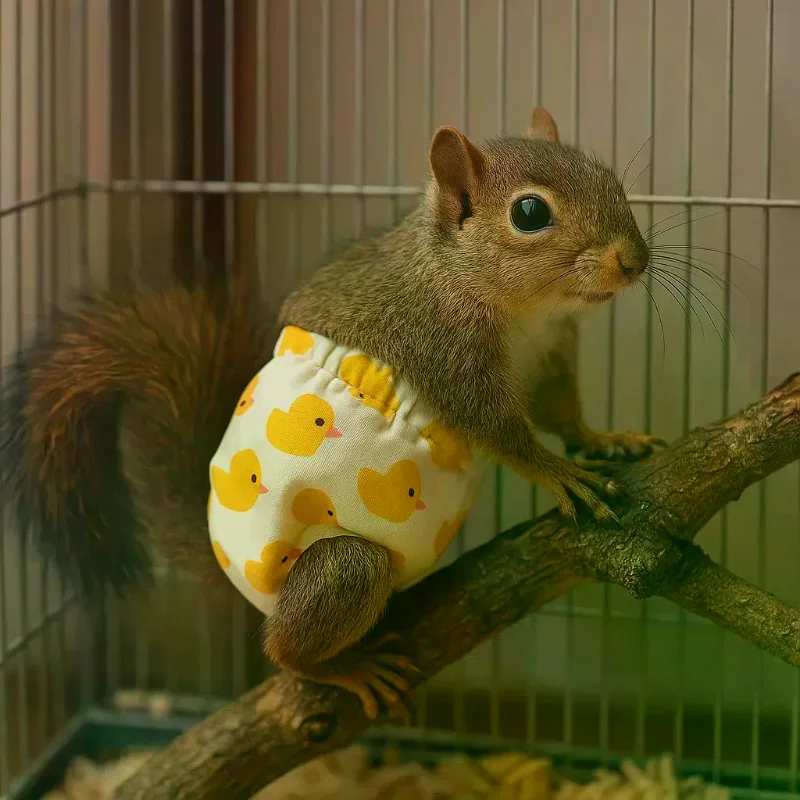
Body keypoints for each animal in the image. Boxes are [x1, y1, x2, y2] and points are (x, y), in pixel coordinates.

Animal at [0, 107, 664, 721]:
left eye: (611, 178)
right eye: (529, 213)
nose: (634, 261)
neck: (519, 308)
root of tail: (225, 563)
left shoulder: (551, 353)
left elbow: (561, 412)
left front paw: (602, 439)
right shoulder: (445, 354)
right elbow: (502, 434)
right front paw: (561, 473)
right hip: (345, 568)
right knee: (285, 648)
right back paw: (343, 669)